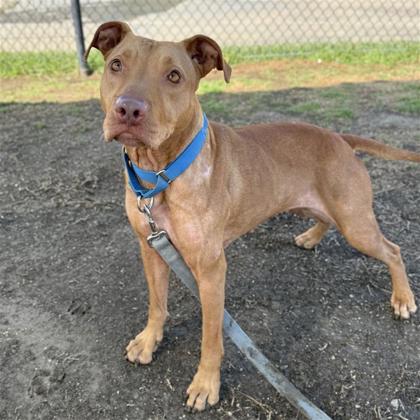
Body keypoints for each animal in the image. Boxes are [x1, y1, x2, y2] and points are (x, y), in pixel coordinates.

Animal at [86, 21, 418, 411]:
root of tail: (339, 138)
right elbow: (157, 303)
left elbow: (211, 335)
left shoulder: (211, 271)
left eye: (174, 76)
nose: (128, 109)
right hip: (317, 205)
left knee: (393, 250)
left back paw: (403, 299)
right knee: (326, 219)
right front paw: (149, 340)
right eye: (116, 65)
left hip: (356, 224)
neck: (160, 173)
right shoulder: (151, 248)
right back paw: (310, 237)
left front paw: (205, 384)